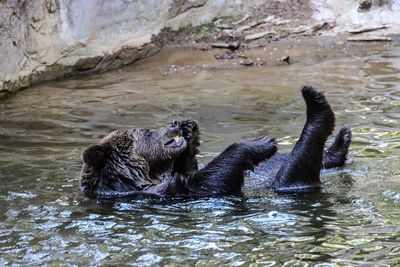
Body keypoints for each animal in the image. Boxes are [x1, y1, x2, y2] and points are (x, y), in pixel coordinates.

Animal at [79, 86, 352, 199]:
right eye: (146, 132)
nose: (174, 123)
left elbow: (189, 169)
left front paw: (191, 133)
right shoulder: (164, 193)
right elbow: (211, 180)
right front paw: (260, 141)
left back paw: (341, 141)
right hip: (292, 182)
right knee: (297, 167)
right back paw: (316, 105)